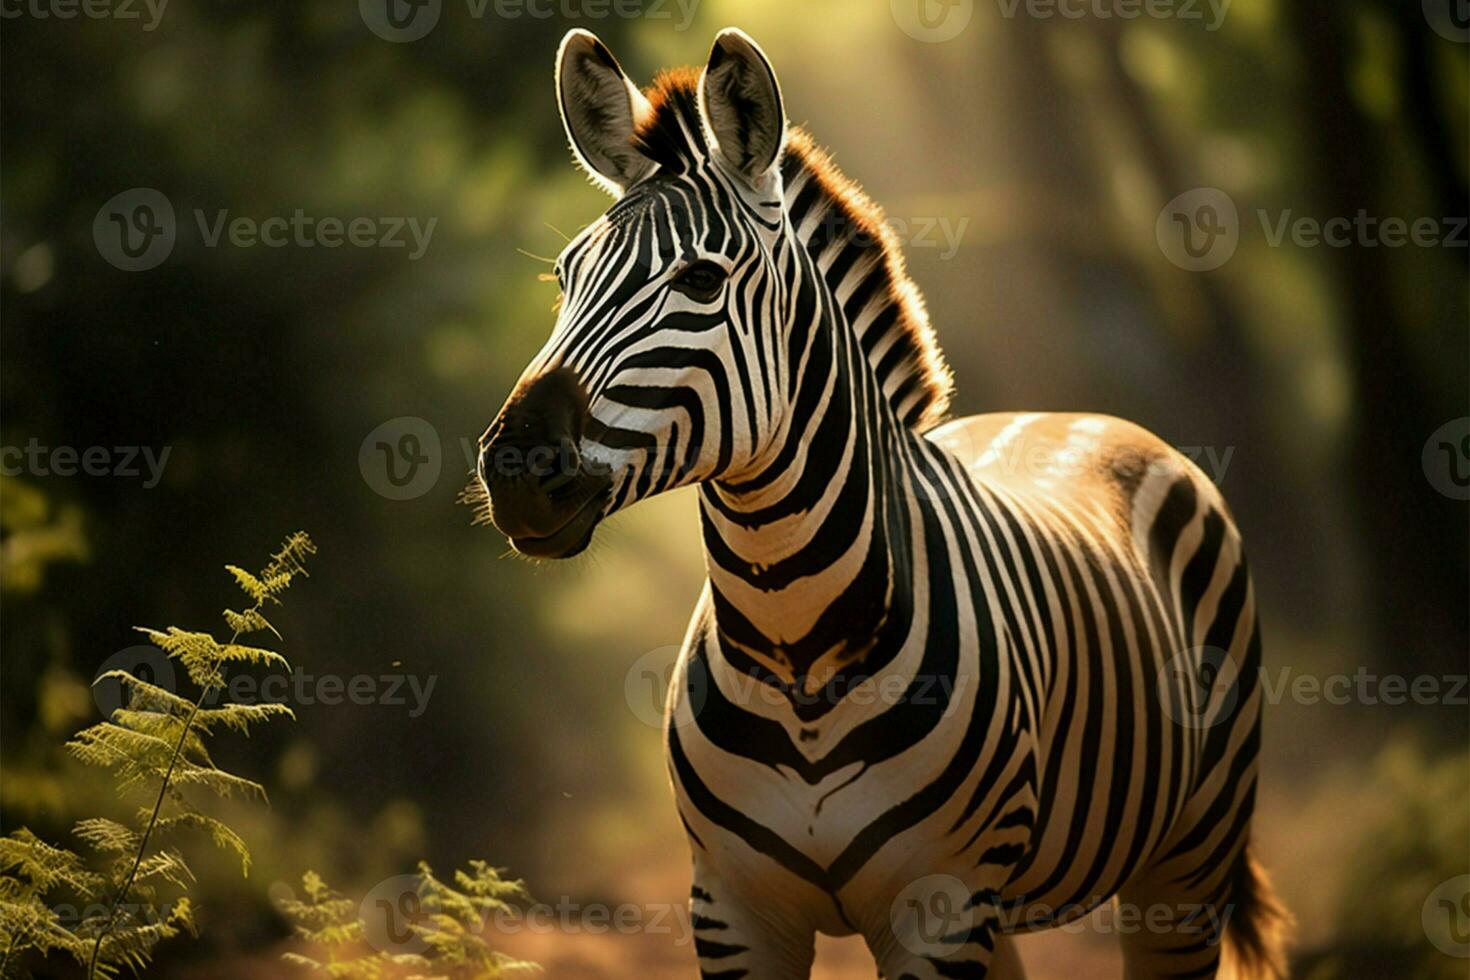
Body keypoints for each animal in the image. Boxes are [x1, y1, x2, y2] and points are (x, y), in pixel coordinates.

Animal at [473, 26, 1287, 975]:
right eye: (566, 279)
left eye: (703, 281)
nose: (515, 467)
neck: (795, 641)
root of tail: (1076, 413)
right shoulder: (733, 907)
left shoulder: (938, 903)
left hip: (1187, 860)